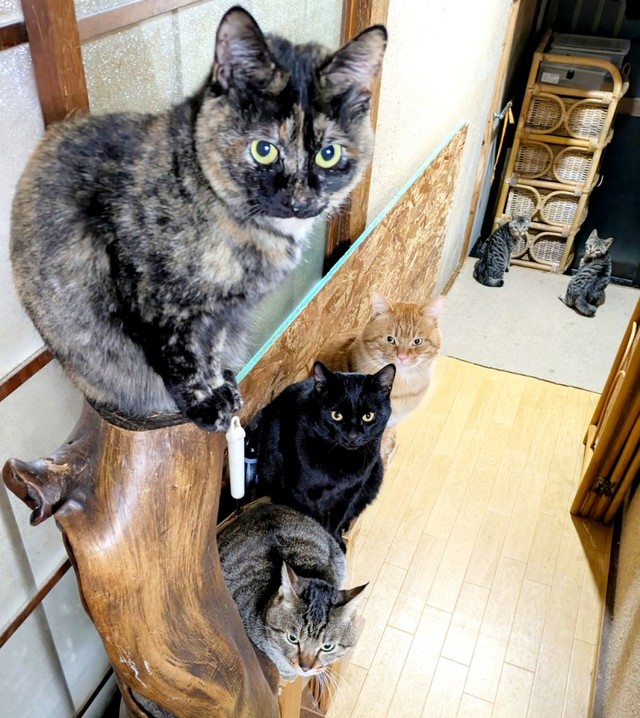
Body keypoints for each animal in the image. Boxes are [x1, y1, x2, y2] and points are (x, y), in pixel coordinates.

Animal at [10, 6, 387, 431]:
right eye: (263, 149)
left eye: (328, 153)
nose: (299, 201)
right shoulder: (155, 306)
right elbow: (181, 361)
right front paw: (205, 405)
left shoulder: (222, 314)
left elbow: (211, 351)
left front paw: (221, 386)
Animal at [246, 361, 395, 545]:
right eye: (336, 415)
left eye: (368, 416)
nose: (352, 436)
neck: (340, 461)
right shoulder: (302, 493)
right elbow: (315, 521)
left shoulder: (349, 493)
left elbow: (337, 518)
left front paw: (336, 540)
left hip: (374, 477)